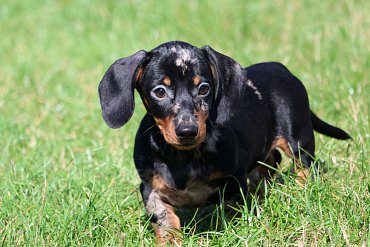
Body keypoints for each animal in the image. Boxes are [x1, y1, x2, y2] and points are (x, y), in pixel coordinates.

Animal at [97, 41, 350, 245]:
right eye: (159, 92)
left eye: (203, 88)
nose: (187, 131)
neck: (184, 158)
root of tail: (280, 67)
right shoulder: (150, 189)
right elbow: (165, 220)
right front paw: (169, 240)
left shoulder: (234, 181)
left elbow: (233, 210)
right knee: (271, 161)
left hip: (298, 139)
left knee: (304, 167)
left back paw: (299, 191)